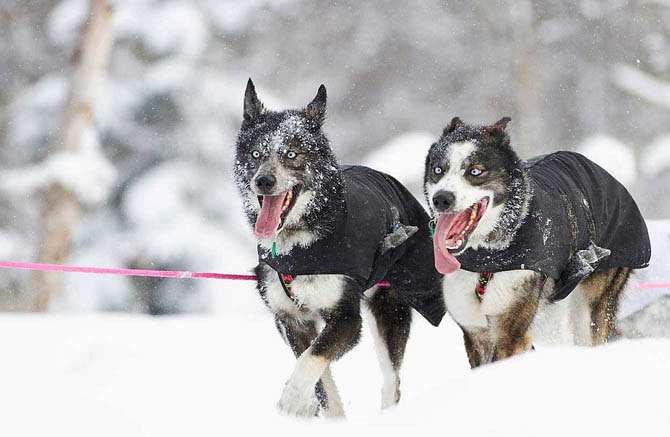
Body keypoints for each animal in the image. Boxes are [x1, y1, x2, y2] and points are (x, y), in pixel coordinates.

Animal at [236, 80, 446, 418]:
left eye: (292, 154)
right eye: (256, 154)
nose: (263, 181)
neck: (299, 248)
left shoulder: (346, 318)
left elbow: (313, 356)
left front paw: (292, 398)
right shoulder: (291, 321)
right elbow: (320, 377)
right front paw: (317, 407)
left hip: (391, 309)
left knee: (392, 381)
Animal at [426, 117, 652, 366]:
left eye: (475, 171)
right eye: (438, 169)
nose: (441, 199)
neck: (486, 257)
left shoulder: (509, 333)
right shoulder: (476, 333)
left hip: (592, 304)